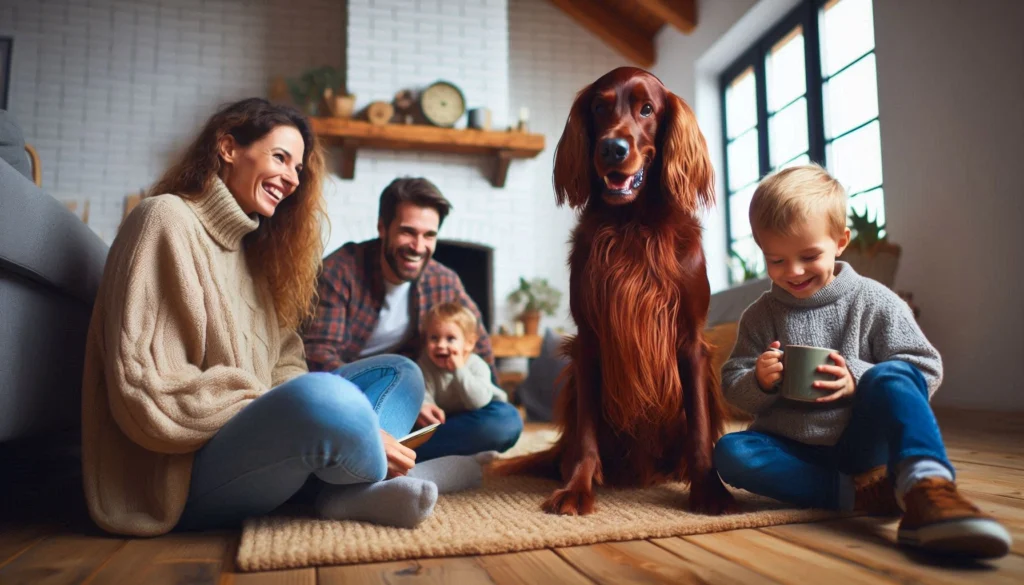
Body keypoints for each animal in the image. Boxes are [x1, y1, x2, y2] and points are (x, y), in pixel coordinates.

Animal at [495, 68, 737, 516]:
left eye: (647, 109)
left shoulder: (690, 339)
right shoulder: (591, 341)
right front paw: (578, 488)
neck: (632, 226)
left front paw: (708, 489)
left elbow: (698, 428)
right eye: (599, 106)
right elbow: (587, 437)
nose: (612, 147)